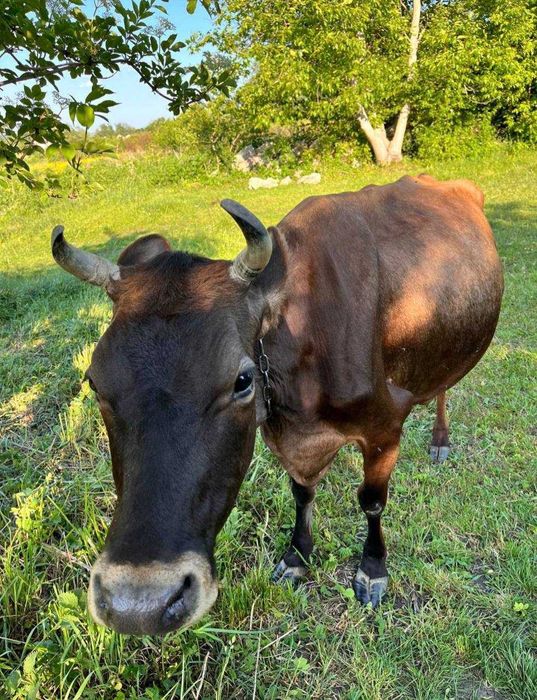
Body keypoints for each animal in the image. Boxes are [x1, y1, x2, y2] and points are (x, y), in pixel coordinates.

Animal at [51, 174, 503, 636]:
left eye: (242, 380)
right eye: (94, 383)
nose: (137, 605)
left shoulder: (385, 427)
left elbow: (372, 501)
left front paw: (372, 568)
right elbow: (301, 493)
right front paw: (297, 556)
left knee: (444, 386)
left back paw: (440, 439)